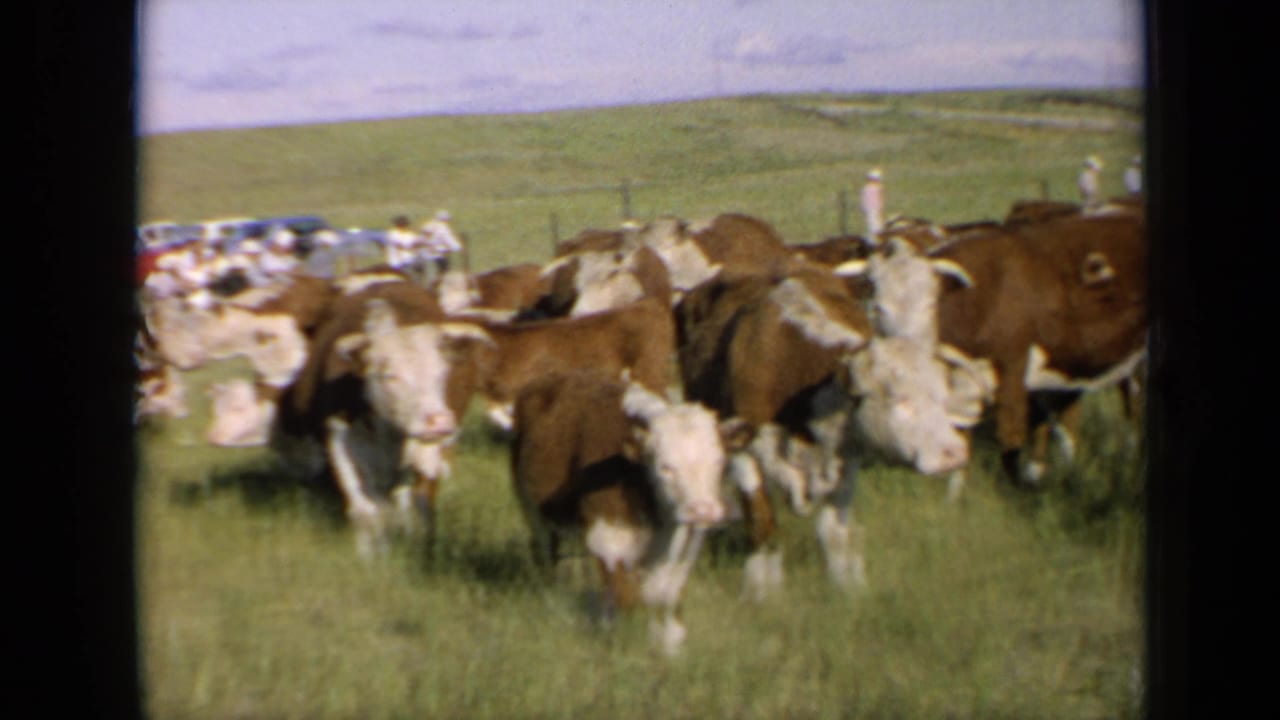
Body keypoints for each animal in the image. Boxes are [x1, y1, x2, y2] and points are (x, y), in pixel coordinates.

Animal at [511, 368, 754, 655]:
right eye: (665, 466)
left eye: (718, 461)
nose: (703, 510)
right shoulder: (609, 537)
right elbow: (625, 595)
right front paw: (625, 644)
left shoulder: (687, 540)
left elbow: (667, 593)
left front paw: (670, 644)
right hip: (532, 508)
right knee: (548, 554)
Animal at [676, 265, 990, 599]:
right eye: (899, 399)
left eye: (941, 396)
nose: (953, 454)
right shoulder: (742, 451)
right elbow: (762, 524)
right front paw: (762, 593)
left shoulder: (845, 456)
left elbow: (837, 534)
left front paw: (848, 591)